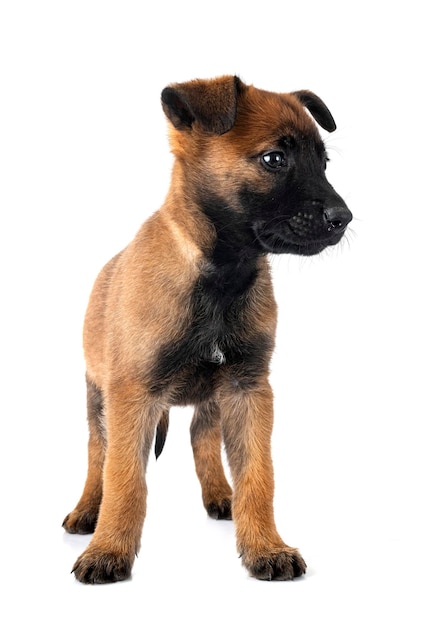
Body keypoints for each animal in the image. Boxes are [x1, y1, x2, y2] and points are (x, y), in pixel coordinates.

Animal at [62, 75, 352, 584]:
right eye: (274, 159)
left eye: (324, 162)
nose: (344, 218)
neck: (221, 278)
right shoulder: (132, 394)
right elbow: (124, 479)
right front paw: (109, 549)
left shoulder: (248, 389)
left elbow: (258, 475)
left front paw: (265, 546)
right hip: (98, 396)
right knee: (98, 453)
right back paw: (87, 511)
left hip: (214, 395)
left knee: (201, 432)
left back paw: (221, 495)